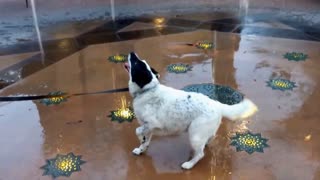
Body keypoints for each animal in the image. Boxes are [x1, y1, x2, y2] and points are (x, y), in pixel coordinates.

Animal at [122, 51, 258, 169]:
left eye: (136, 63)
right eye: (140, 61)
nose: (132, 52)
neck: (147, 90)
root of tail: (217, 104)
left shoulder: (152, 124)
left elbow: (137, 130)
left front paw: (140, 139)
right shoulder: (148, 127)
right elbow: (145, 141)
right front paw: (140, 149)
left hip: (194, 134)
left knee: (200, 154)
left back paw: (189, 164)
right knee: (209, 138)